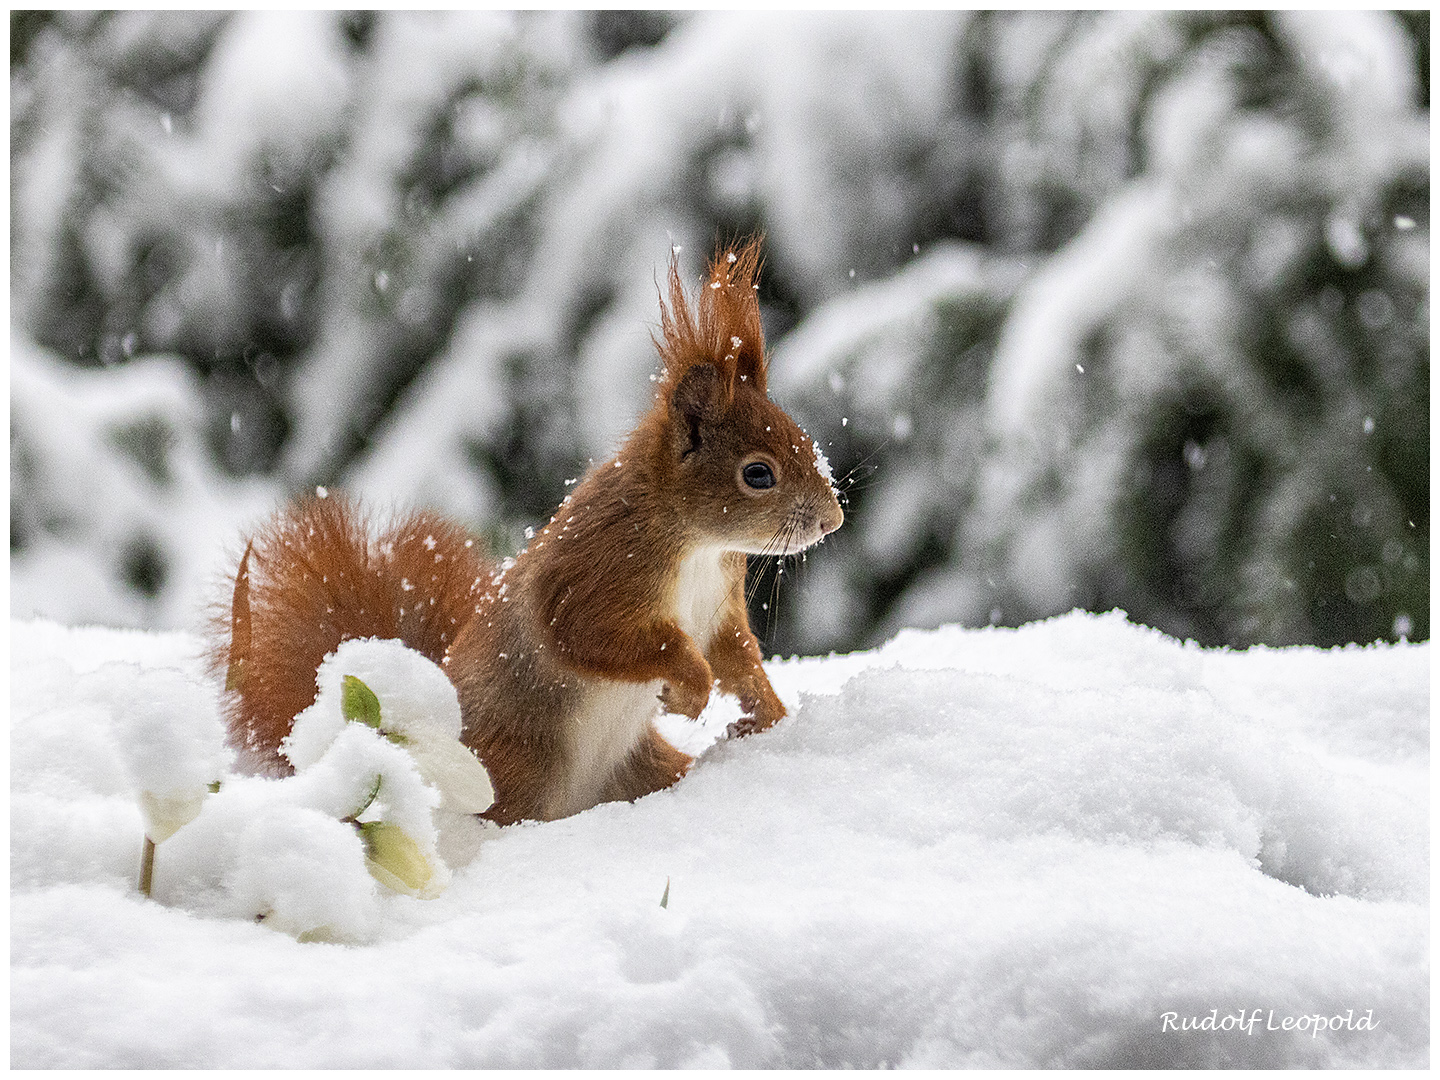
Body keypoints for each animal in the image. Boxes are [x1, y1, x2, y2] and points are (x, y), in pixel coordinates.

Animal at [214, 240, 840, 823]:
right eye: (757, 473)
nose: (832, 519)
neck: (698, 546)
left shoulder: (717, 604)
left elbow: (736, 654)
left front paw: (771, 716)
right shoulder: (601, 570)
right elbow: (599, 635)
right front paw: (689, 688)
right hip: (515, 765)